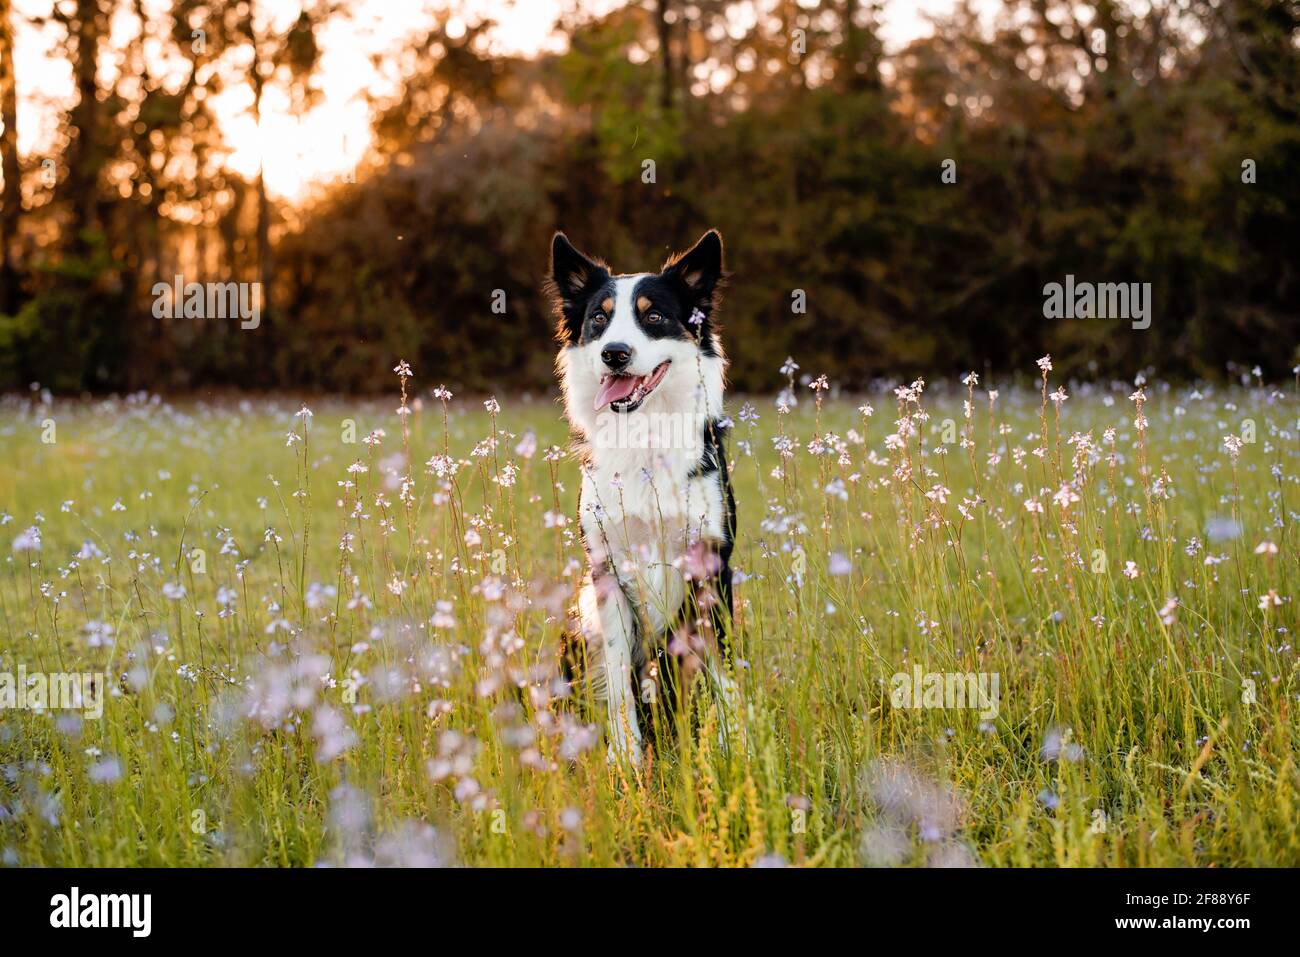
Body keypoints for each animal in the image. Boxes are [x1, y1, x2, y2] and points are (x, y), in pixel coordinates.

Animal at [543, 231, 738, 764]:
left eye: (653, 317)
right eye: (599, 318)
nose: (614, 353)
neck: (644, 437)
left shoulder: (711, 565)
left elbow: (721, 670)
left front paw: (735, 746)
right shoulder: (606, 571)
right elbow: (616, 675)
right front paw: (626, 755)